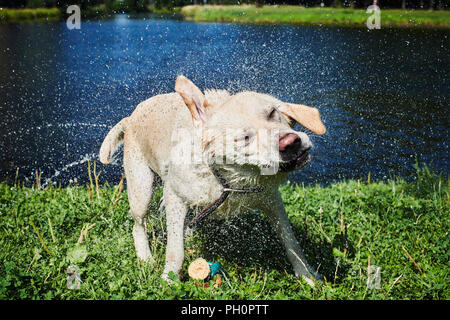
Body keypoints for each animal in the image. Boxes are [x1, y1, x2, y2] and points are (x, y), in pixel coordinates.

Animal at [98, 75, 326, 284]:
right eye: (244, 138)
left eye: (272, 113)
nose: (290, 143)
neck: (228, 179)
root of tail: (131, 117)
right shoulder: (174, 198)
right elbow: (175, 250)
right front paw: (169, 280)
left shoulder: (272, 200)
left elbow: (291, 242)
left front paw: (308, 275)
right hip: (141, 189)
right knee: (138, 226)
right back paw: (146, 258)